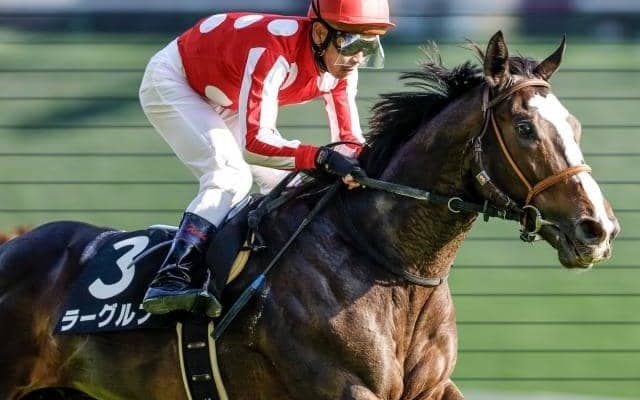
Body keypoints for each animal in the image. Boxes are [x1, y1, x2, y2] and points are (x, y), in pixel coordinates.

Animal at [0, 31, 619, 400]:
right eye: (526, 128)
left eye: (574, 126)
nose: (598, 228)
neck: (389, 263)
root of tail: (14, 244)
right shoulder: (341, 387)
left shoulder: (434, 388)